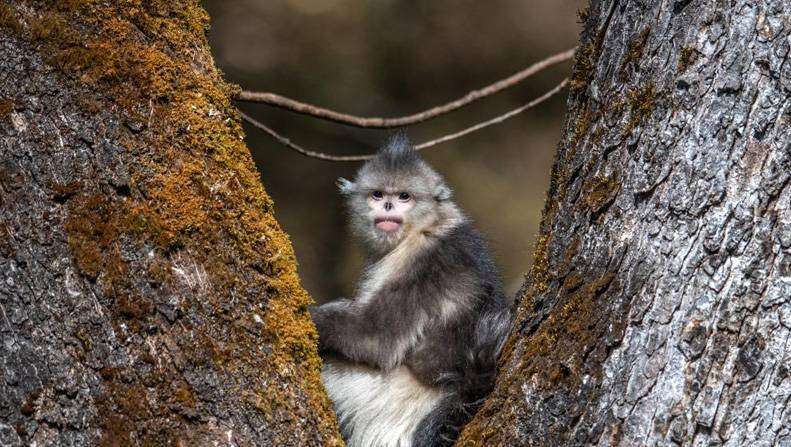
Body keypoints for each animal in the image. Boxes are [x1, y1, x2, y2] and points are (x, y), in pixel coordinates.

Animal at [310, 136, 512, 447]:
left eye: (404, 196)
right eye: (378, 194)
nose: (388, 205)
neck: (425, 227)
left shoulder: (420, 264)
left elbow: (376, 340)